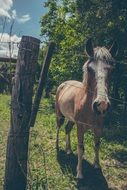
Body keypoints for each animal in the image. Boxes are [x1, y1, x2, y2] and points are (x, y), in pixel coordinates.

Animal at [55, 38, 118, 178]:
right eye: (90, 69)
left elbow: (97, 145)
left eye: (111, 69)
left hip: (71, 120)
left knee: (67, 129)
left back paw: (68, 150)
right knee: (58, 127)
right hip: (59, 115)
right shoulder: (80, 127)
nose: (102, 104)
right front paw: (79, 173)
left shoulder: (99, 127)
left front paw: (97, 165)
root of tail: (63, 84)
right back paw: (56, 146)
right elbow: (81, 147)